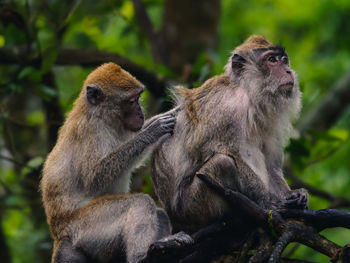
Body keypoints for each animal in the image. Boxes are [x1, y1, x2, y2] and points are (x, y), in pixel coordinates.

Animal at [41, 63, 194, 263]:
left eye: (139, 97)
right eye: (131, 101)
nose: (141, 113)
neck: (101, 116)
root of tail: (59, 233)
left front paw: (172, 113)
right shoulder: (90, 129)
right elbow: (94, 177)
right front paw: (154, 130)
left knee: (158, 213)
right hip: (85, 227)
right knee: (139, 202)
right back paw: (141, 255)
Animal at [150, 35, 306, 235]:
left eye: (284, 60)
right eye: (272, 60)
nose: (288, 71)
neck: (246, 93)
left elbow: (270, 164)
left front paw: (294, 195)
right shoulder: (225, 108)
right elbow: (222, 152)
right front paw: (270, 202)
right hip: (191, 207)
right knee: (223, 162)